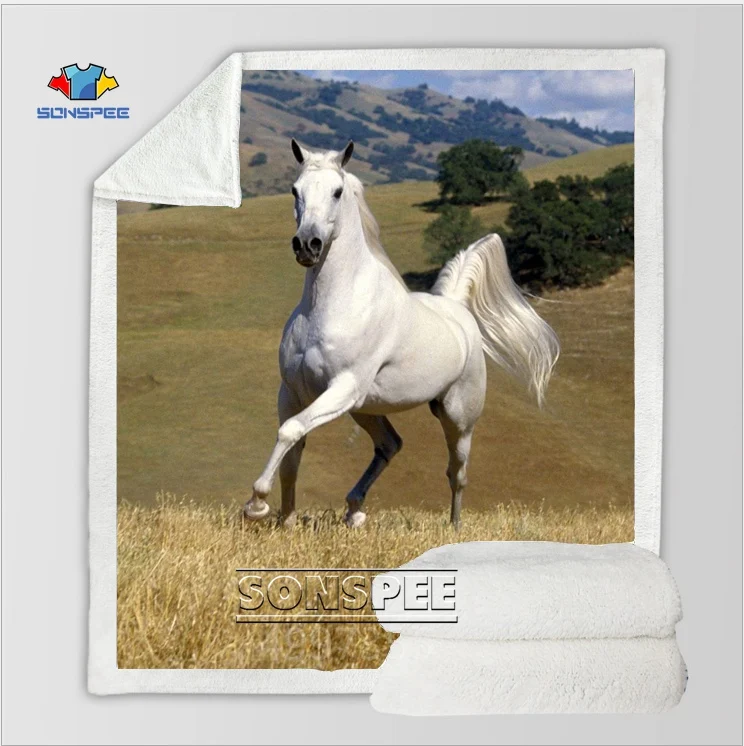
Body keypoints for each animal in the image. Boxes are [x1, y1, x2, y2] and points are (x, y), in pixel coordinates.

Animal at [243, 139, 560, 528]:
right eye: (294, 190)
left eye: (337, 191)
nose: (307, 245)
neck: (330, 305)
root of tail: (456, 308)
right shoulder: (293, 391)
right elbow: (292, 450)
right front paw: (285, 521)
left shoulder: (343, 386)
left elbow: (290, 431)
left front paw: (256, 505)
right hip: (364, 408)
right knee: (390, 444)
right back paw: (354, 510)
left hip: (457, 417)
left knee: (457, 473)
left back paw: (453, 527)